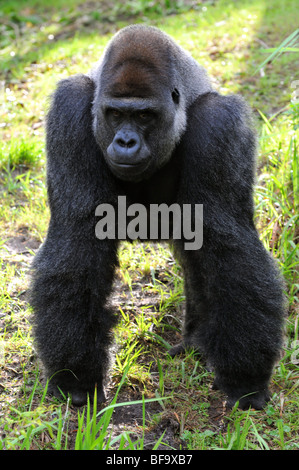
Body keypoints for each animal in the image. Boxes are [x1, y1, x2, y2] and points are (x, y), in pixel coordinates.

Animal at [30, 24, 286, 408]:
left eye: (144, 116)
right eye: (115, 114)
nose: (125, 142)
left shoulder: (220, 122)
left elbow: (226, 241)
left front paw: (246, 379)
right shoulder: (70, 108)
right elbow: (77, 234)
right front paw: (76, 376)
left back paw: (198, 340)